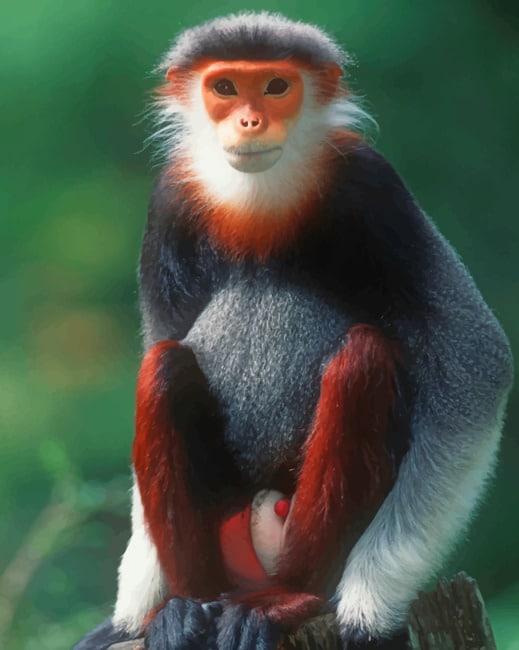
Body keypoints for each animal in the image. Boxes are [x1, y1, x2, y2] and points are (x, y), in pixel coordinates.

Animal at [73, 12, 513, 650]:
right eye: (225, 87)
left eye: (276, 86)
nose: (249, 120)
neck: (261, 197)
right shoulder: (170, 201)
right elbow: (160, 336)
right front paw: (134, 612)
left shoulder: (373, 184)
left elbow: (477, 360)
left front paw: (367, 608)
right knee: (161, 364)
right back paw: (185, 607)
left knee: (363, 356)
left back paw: (291, 599)